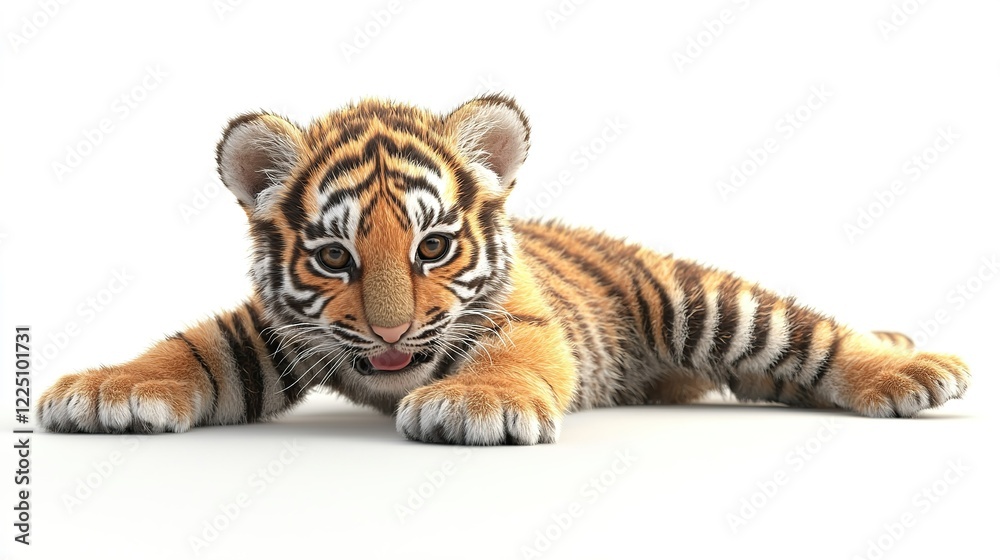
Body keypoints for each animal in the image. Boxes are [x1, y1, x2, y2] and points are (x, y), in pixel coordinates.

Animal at [37, 94, 970, 445]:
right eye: (335, 257)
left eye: (433, 247)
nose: (389, 330)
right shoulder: (272, 330)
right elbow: (193, 350)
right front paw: (105, 387)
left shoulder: (522, 316)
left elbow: (506, 357)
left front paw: (470, 405)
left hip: (702, 303)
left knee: (812, 338)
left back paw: (911, 367)